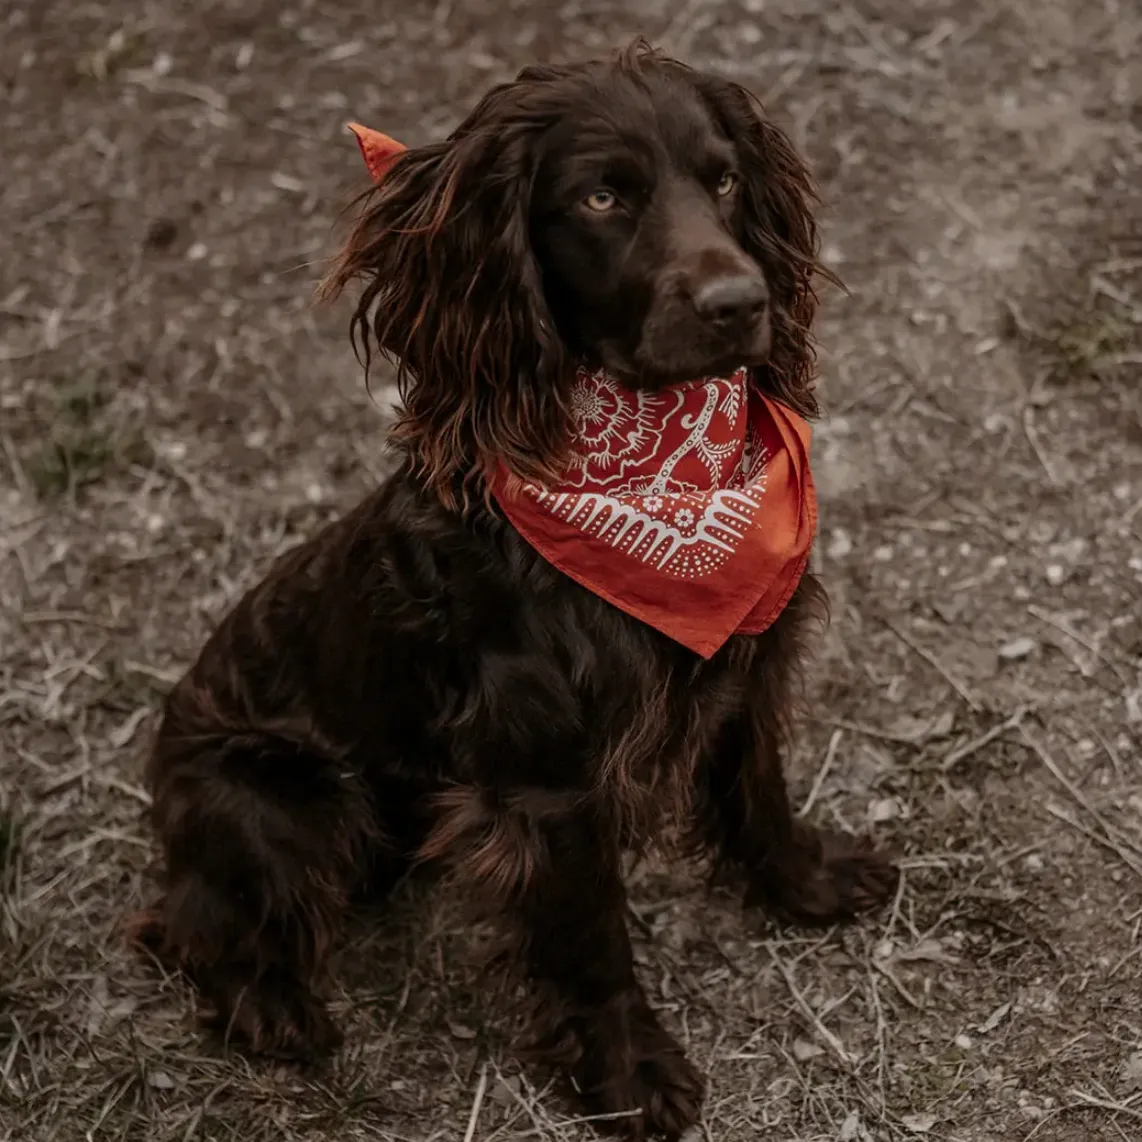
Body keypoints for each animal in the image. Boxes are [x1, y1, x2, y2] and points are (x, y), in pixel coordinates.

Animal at [131, 40, 899, 1137]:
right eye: (600, 197)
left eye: (722, 179)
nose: (739, 304)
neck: (663, 489)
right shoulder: (553, 779)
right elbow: (592, 939)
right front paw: (627, 1073)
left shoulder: (745, 663)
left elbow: (758, 791)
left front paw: (807, 883)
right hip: (287, 801)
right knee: (186, 919)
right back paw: (271, 1006)